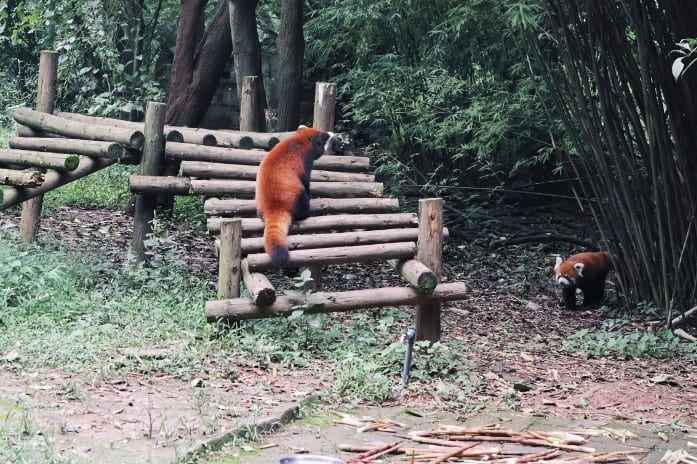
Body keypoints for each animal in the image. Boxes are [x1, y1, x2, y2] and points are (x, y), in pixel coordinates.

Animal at [254, 126, 334, 264]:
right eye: (325, 142)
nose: (331, 134)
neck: (299, 140)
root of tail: (273, 207)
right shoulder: (304, 163)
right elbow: (306, 183)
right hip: (296, 196)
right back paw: (306, 213)